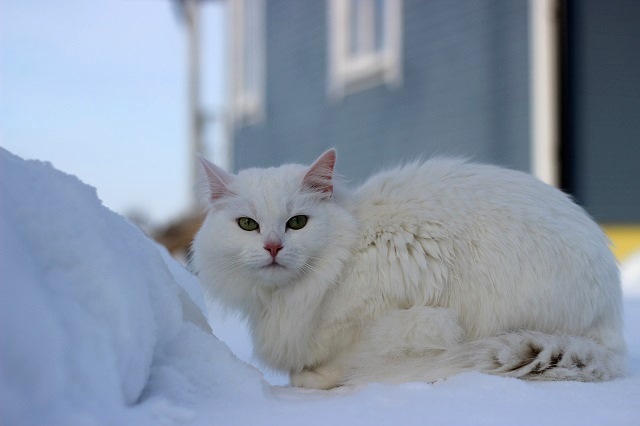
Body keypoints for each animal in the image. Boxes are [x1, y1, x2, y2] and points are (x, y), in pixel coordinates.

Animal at [191, 150, 624, 390]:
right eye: (248, 225)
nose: (273, 247)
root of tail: (611, 327)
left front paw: (315, 376)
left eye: (297, 223)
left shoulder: (400, 317)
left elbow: (342, 363)